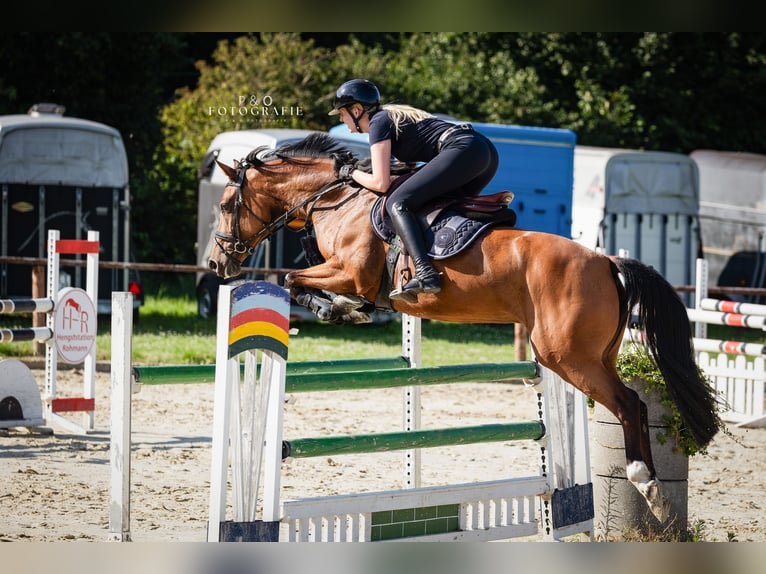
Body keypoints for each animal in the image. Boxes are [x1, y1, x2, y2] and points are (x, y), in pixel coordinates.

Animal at [208, 133, 720, 524]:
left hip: (565, 356)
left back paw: (646, 484)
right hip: (591, 355)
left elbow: (293, 280)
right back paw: (657, 493)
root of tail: (608, 261)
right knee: (632, 404)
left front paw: (342, 310)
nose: (216, 264)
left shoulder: (351, 272)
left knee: (629, 404)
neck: (337, 201)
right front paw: (348, 310)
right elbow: (299, 281)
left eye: (228, 204)